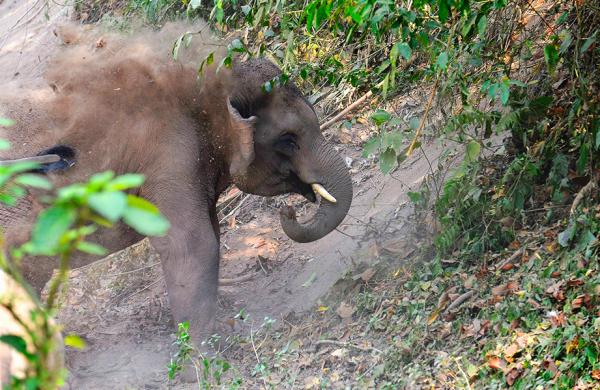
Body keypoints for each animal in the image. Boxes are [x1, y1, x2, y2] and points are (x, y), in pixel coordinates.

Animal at [0, 42, 354, 348]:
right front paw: (199, 358)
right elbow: (193, 243)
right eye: (288, 140)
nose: (288, 212)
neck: (205, 87)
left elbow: (209, 233)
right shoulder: (170, 156)